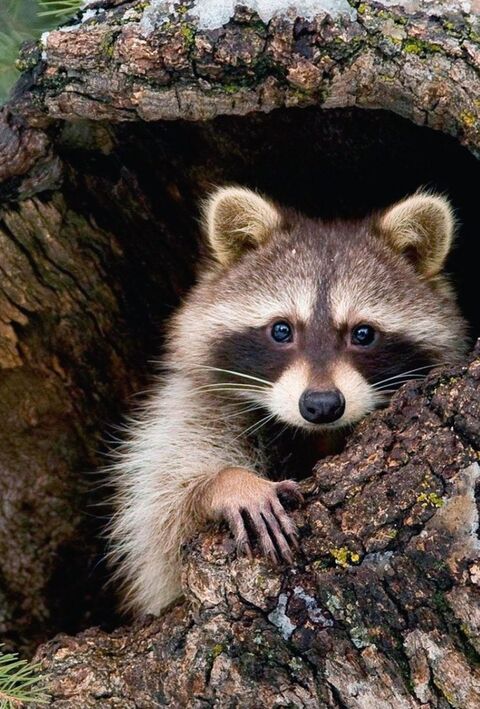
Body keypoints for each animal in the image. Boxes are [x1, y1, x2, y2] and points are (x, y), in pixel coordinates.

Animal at [109, 186, 468, 616]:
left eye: (363, 334)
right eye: (282, 330)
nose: (322, 405)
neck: (315, 434)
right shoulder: (194, 401)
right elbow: (162, 513)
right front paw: (227, 482)